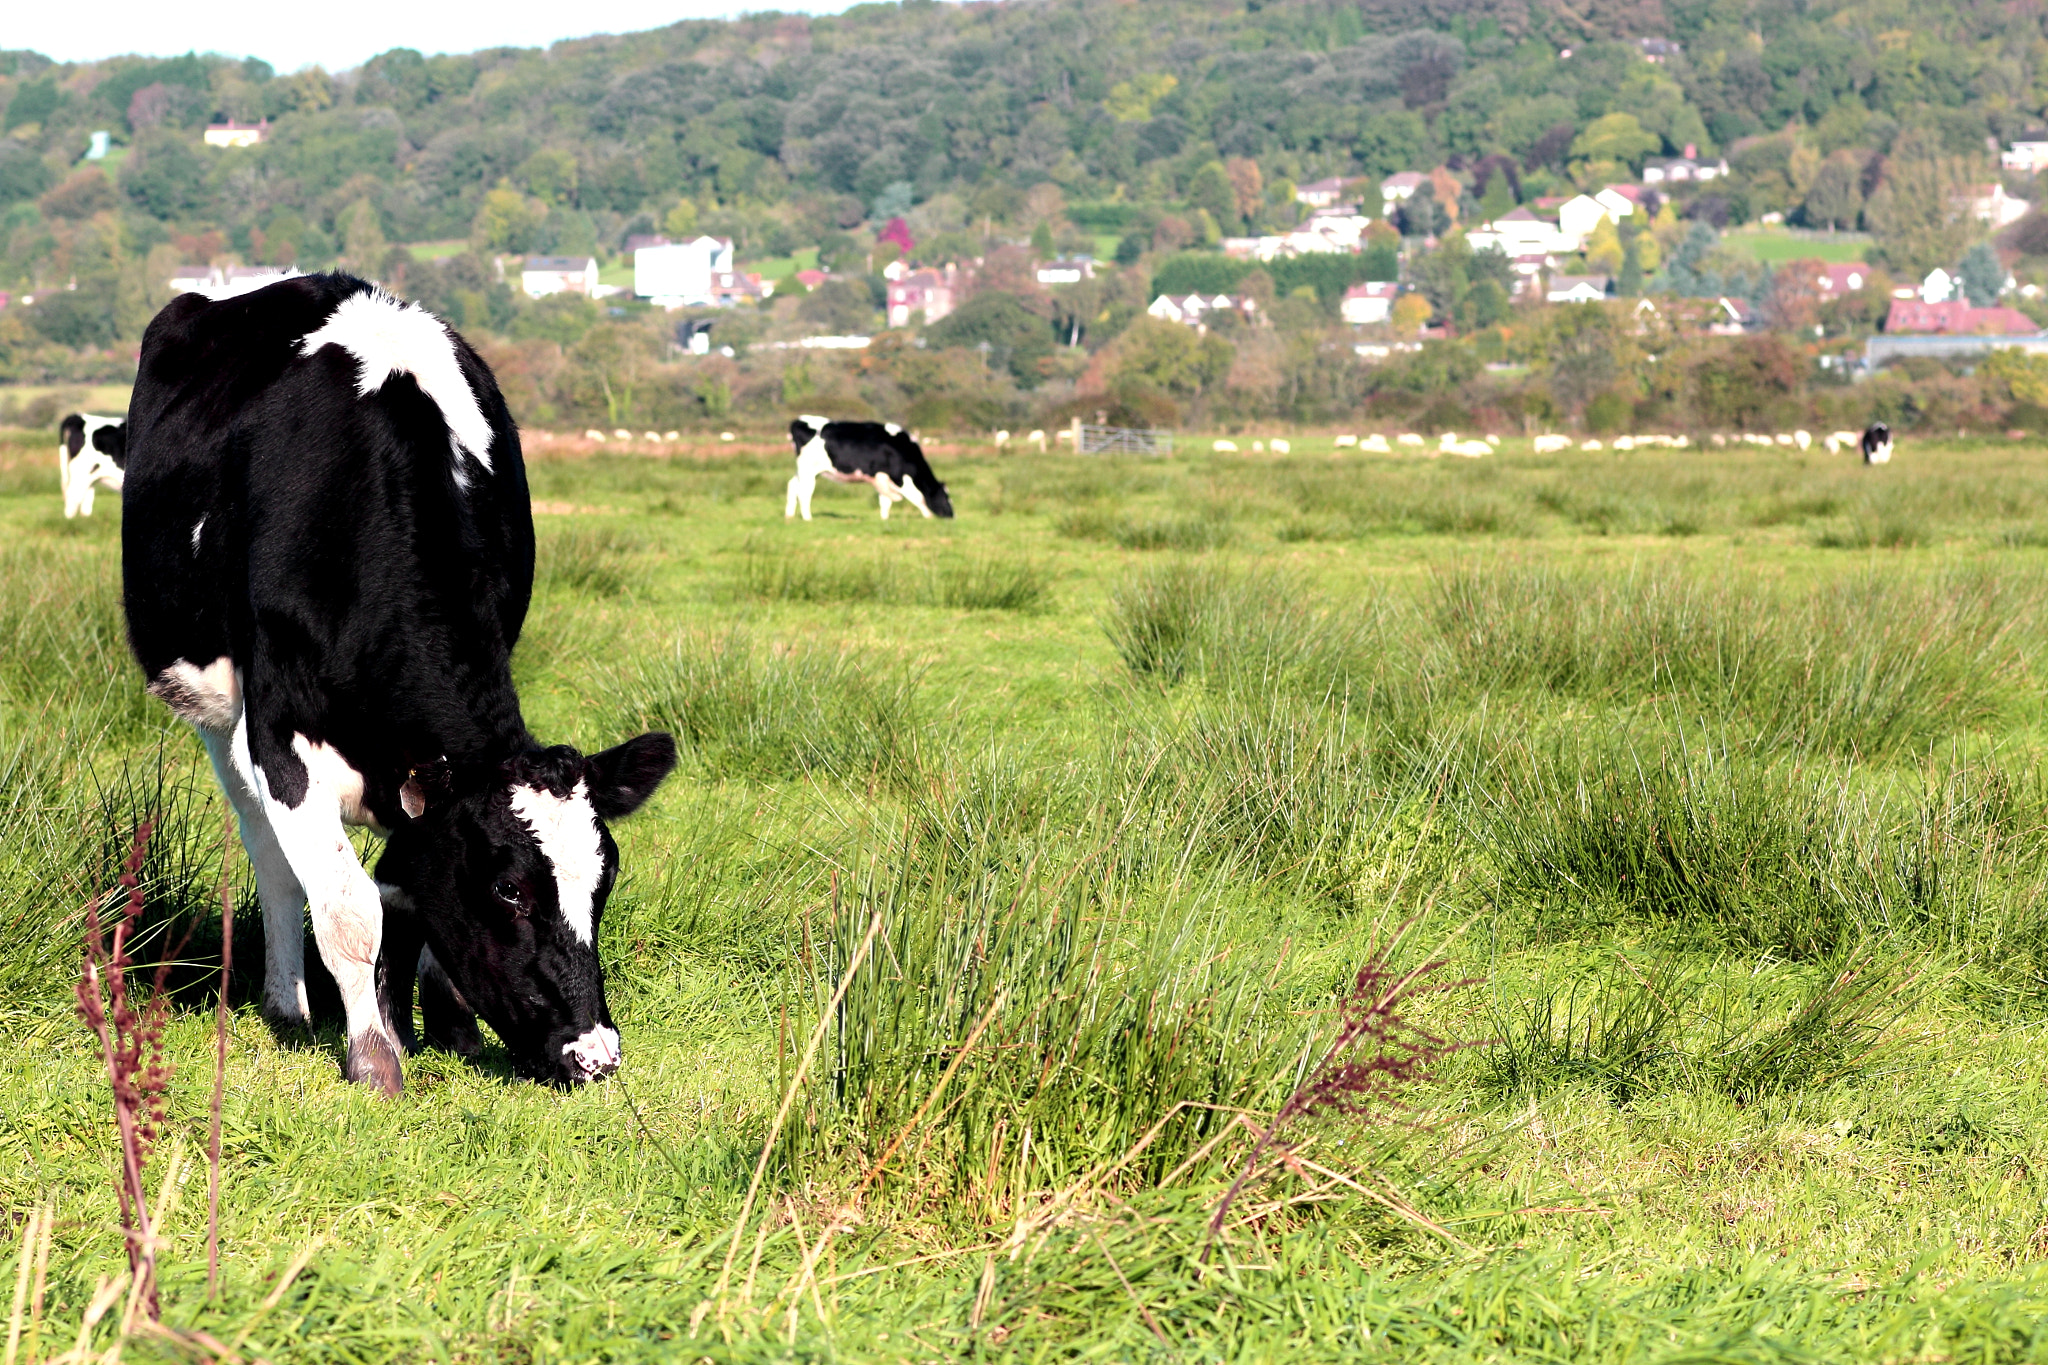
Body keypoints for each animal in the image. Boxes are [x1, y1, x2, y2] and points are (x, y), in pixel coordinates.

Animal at [121, 272, 679, 1096]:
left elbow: (410, 884)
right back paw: (287, 1003)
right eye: (509, 889)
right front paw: (375, 1052)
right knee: (270, 852)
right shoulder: (279, 730)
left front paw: (443, 1025)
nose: (593, 1053)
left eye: (605, 881)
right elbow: (352, 907)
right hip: (217, 715)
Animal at [782, 413, 950, 519]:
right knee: (804, 492)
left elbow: (885, 501)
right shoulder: (899, 478)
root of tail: (800, 420)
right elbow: (918, 497)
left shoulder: (883, 478)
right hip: (808, 470)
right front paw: (928, 517)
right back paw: (808, 518)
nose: (952, 515)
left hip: (806, 471)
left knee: (792, 485)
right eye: (946, 497)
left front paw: (884, 519)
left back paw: (789, 516)